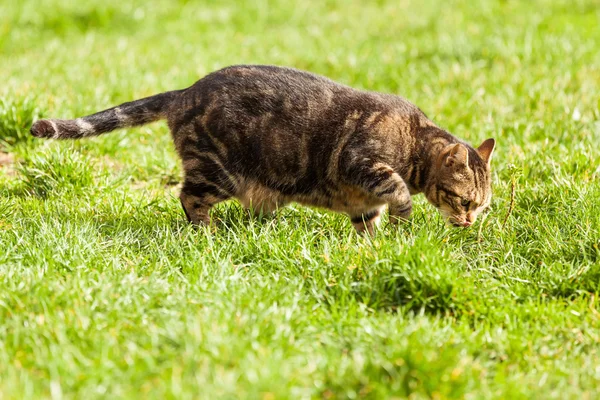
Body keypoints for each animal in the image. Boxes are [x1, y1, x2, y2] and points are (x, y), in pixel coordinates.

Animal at [30, 65, 494, 234]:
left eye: (481, 206)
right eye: (464, 200)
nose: (470, 221)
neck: (414, 141)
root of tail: (186, 90)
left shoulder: (363, 202)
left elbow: (367, 223)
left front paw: (372, 244)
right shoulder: (360, 161)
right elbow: (395, 192)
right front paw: (403, 218)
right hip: (216, 171)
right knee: (187, 197)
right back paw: (207, 233)